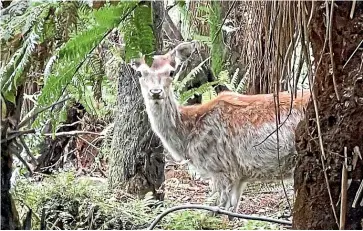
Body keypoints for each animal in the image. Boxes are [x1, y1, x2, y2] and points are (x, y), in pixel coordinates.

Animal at [135, 42, 312, 215]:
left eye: (171, 72)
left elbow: (217, 213)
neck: (188, 134)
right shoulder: (239, 176)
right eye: (140, 73)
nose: (155, 92)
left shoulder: (221, 168)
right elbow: (232, 213)